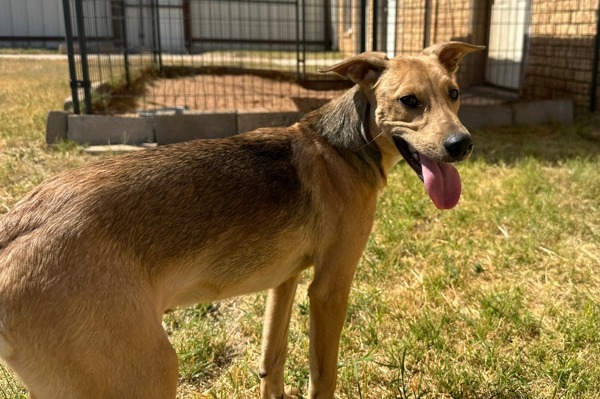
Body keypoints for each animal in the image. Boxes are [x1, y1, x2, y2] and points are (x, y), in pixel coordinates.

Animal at [0, 42, 482, 398]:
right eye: (409, 102)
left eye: (455, 93)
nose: (462, 145)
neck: (344, 146)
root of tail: (15, 227)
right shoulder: (330, 288)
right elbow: (323, 377)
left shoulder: (285, 280)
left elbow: (273, 358)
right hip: (149, 372)